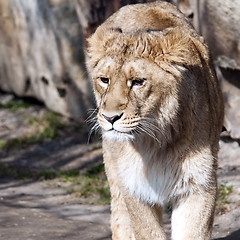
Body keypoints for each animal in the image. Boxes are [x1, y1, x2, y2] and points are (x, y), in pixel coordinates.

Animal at [86, 0, 223, 239]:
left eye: (137, 82)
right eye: (104, 80)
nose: (110, 117)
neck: (154, 142)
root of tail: (141, 4)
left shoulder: (198, 185)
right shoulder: (133, 188)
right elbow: (146, 231)